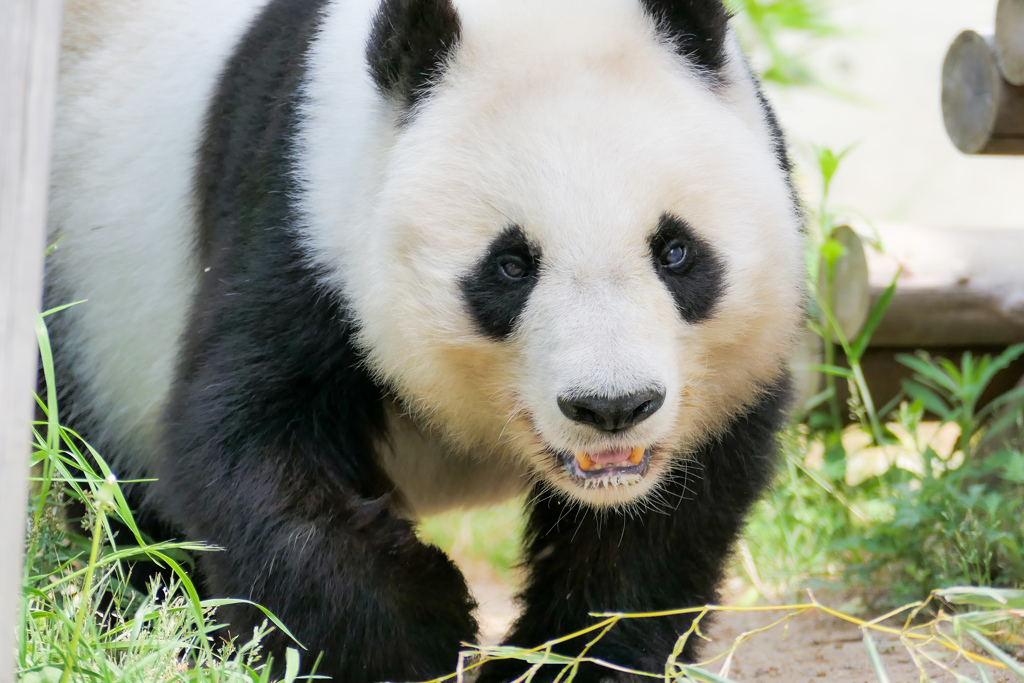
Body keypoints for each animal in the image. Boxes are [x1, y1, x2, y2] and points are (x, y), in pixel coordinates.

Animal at [44, 0, 802, 679]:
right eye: (510, 265)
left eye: (675, 251)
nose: (612, 407)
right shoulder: (300, 215)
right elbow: (249, 446)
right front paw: (419, 629)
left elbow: (657, 534)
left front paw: (569, 661)